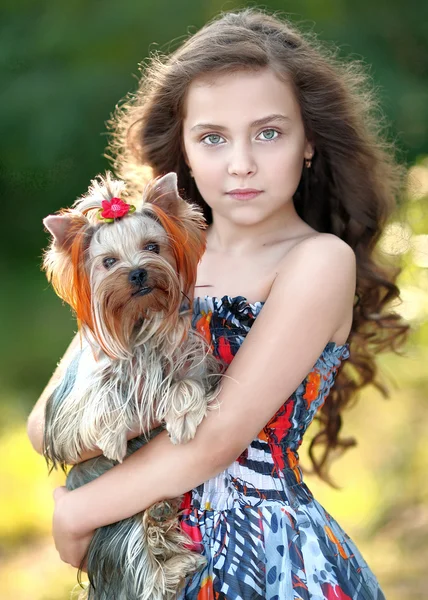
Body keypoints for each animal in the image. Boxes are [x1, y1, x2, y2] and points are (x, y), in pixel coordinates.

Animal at [42, 170, 224, 600]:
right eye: (108, 261)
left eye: (152, 247)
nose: (138, 272)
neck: (138, 324)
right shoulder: (66, 411)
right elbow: (97, 399)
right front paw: (112, 436)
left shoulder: (194, 362)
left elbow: (187, 385)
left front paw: (181, 420)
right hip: (116, 530)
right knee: (137, 562)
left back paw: (170, 540)